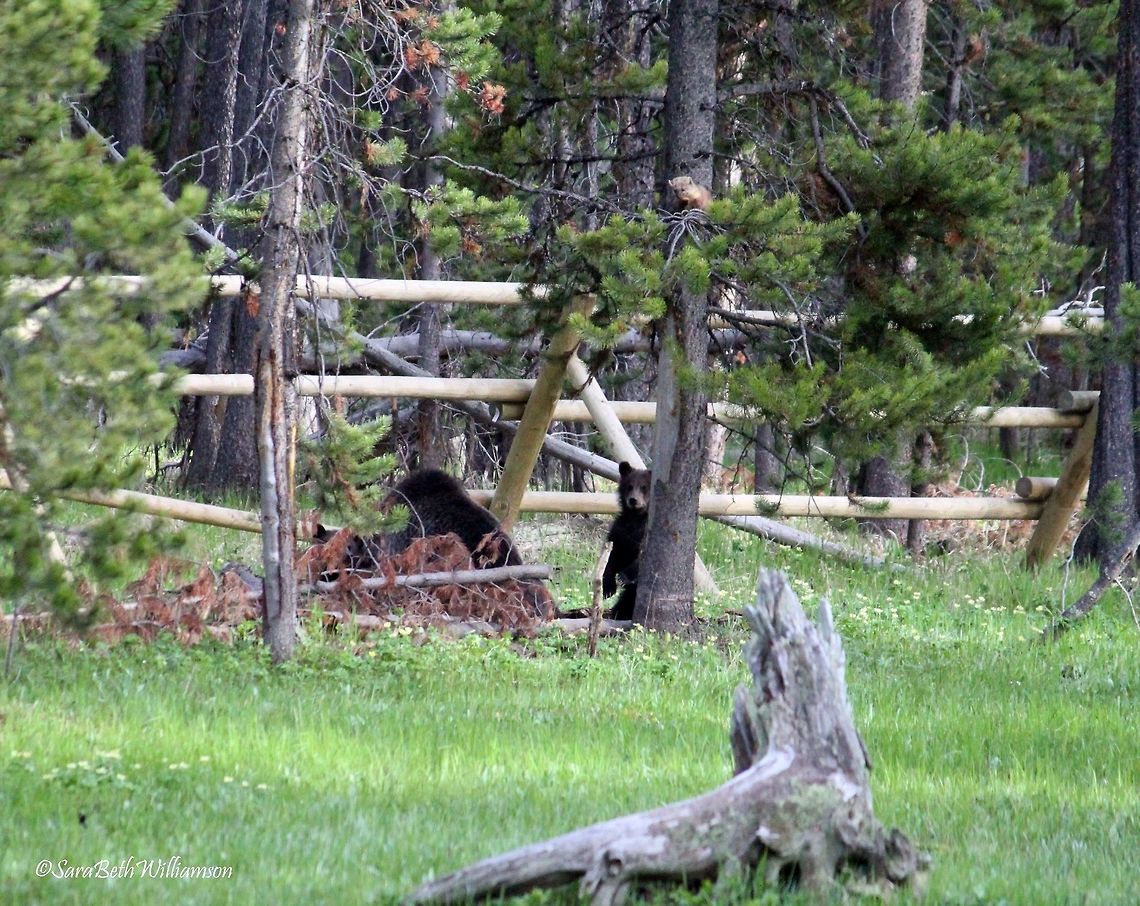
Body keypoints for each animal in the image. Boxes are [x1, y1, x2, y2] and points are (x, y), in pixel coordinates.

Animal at [602, 461, 651, 621]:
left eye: (644, 487)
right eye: (629, 486)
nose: (633, 500)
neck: (636, 518)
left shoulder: (643, 534)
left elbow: (640, 559)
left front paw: (625, 576)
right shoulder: (620, 533)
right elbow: (612, 556)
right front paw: (608, 588)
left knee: (629, 596)